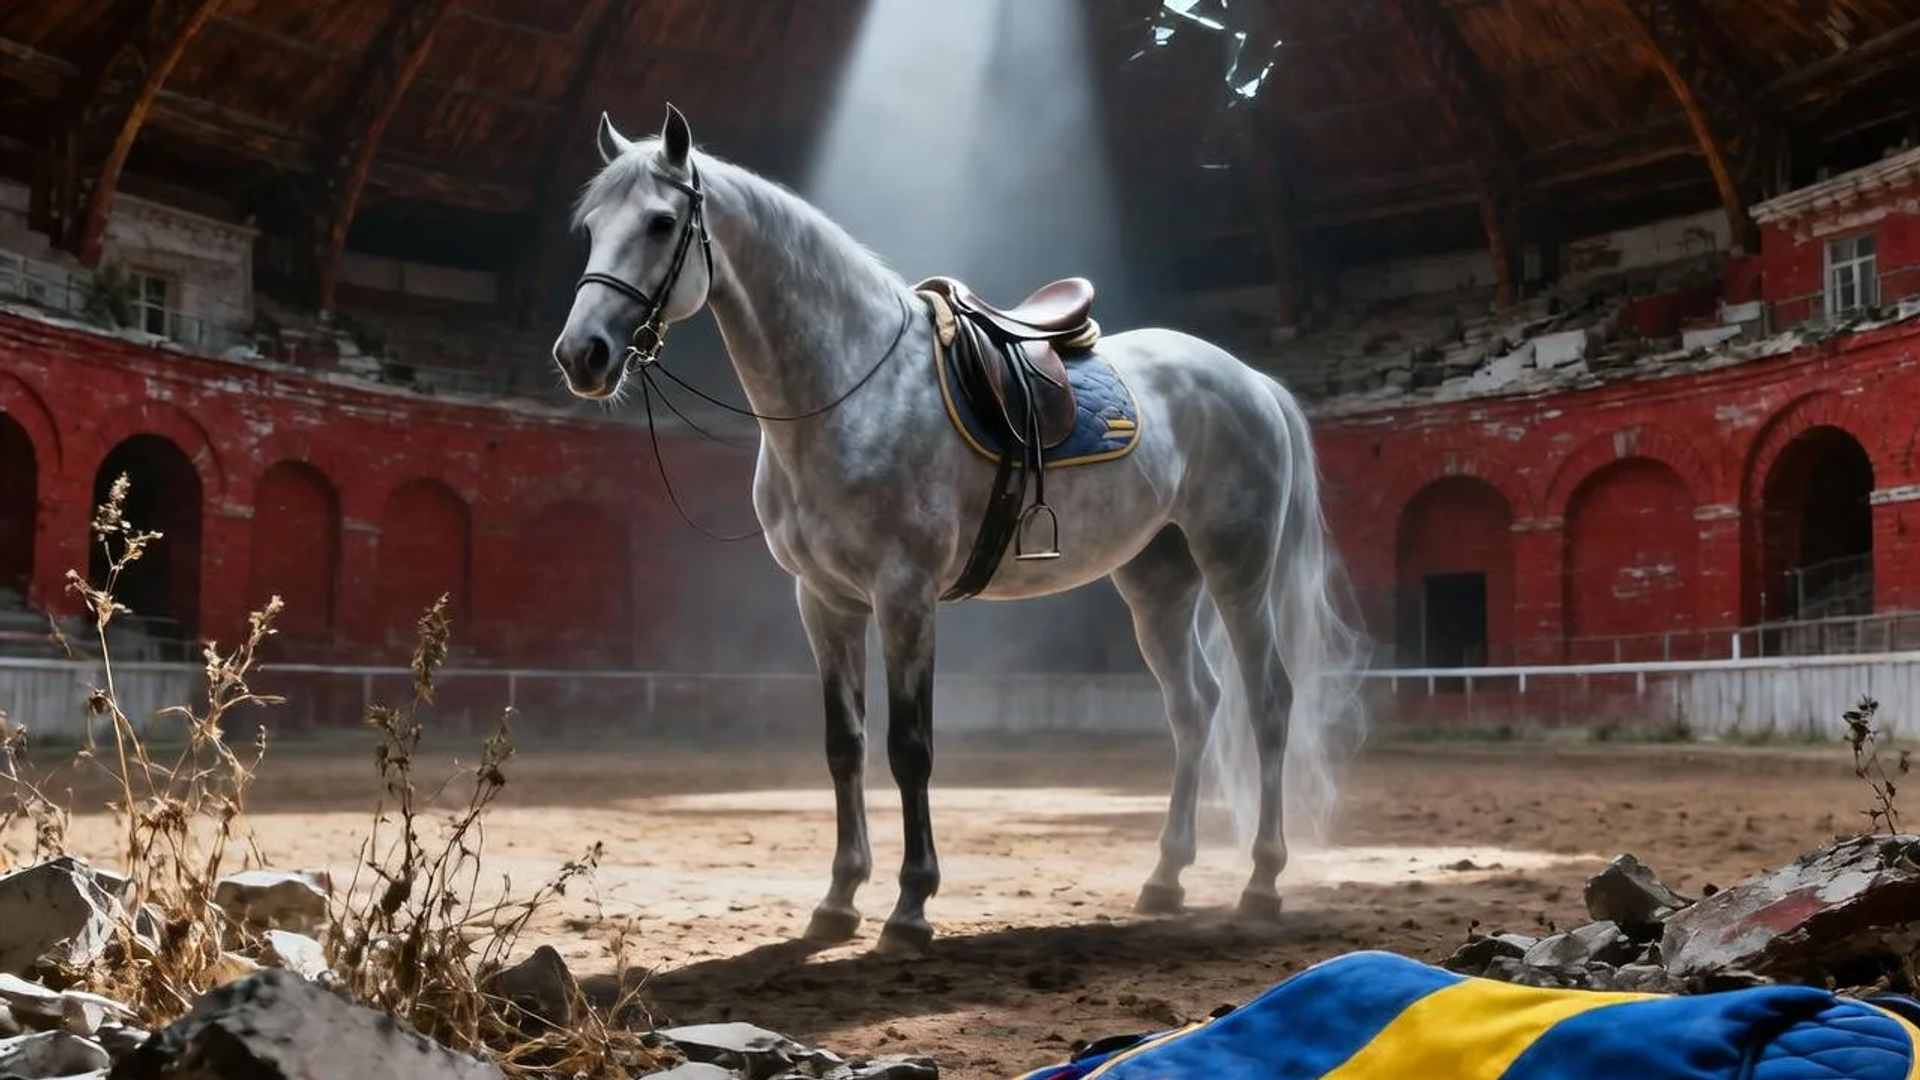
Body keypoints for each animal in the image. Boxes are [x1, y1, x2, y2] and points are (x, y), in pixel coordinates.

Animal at [550, 104, 1367, 956]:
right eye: (590, 227)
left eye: (659, 221)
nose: (582, 355)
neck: (848, 389)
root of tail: (1252, 381)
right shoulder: (824, 601)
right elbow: (844, 746)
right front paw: (839, 899)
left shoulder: (905, 594)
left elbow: (910, 748)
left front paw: (911, 906)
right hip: (1158, 580)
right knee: (1193, 707)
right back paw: (1166, 878)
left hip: (1238, 566)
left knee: (1268, 702)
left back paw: (1261, 883)